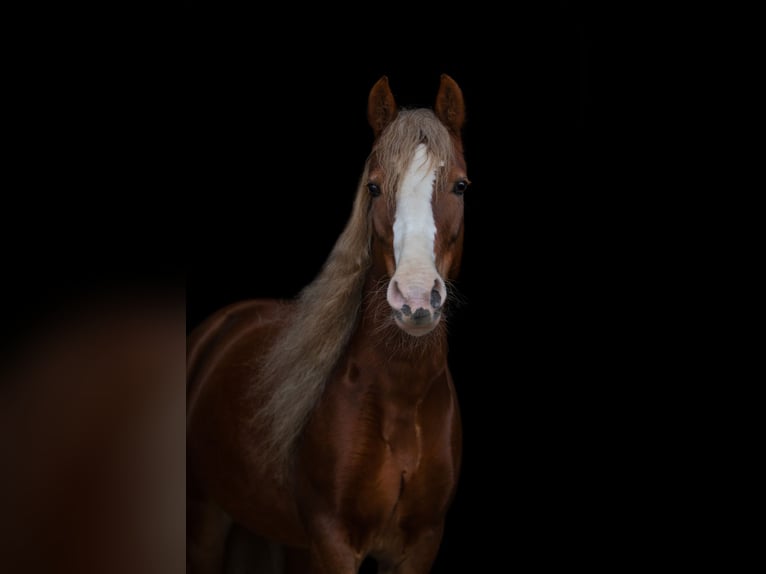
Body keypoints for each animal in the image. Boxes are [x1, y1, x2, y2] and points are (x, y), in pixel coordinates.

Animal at [187, 73, 469, 574]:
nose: (416, 297)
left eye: (459, 186)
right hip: (206, 520)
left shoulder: (420, 544)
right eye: (374, 187)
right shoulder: (332, 540)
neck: (401, 397)